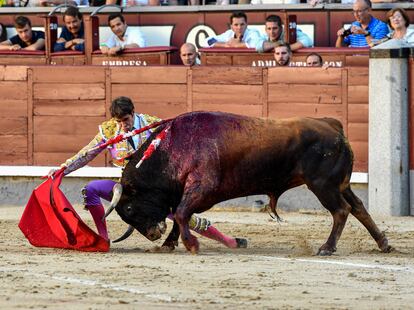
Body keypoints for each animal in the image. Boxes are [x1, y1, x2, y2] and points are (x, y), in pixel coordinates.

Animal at [108, 111, 392, 254]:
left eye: (130, 208)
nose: (153, 234)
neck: (172, 148)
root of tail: (333, 126)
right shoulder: (185, 192)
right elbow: (180, 215)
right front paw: (169, 244)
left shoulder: (201, 187)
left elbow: (180, 213)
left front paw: (192, 244)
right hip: (341, 184)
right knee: (358, 208)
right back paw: (383, 244)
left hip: (323, 185)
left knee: (342, 211)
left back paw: (327, 248)